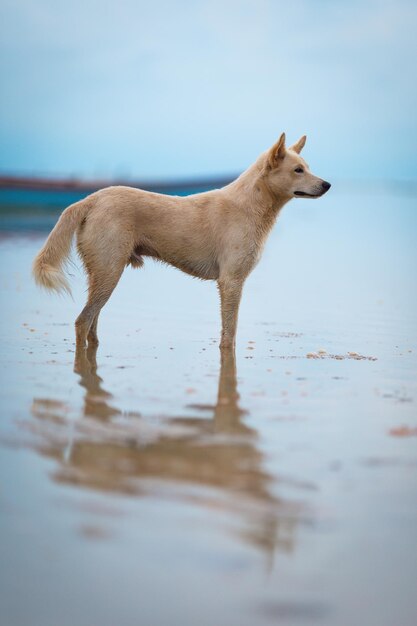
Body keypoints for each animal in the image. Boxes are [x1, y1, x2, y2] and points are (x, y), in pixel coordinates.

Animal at [33, 133, 328, 352]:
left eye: (308, 167)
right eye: (298, 170)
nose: (327, 185)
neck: (250, 204)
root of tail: (91, 199)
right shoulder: (231, 282)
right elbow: (229, 334)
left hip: (102, 275)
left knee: (92, 323)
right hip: (109, 271)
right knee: (82, 322)